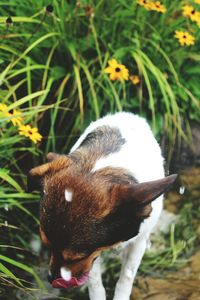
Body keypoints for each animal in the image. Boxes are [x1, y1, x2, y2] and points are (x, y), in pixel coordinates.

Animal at [28, 112, 177, 300]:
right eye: (47, 245)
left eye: (76, 257)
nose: (50, 279)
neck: (98, 168)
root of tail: (127, 114)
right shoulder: (93, 256)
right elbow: (95, 283)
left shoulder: (138, 241)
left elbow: (126, 277)